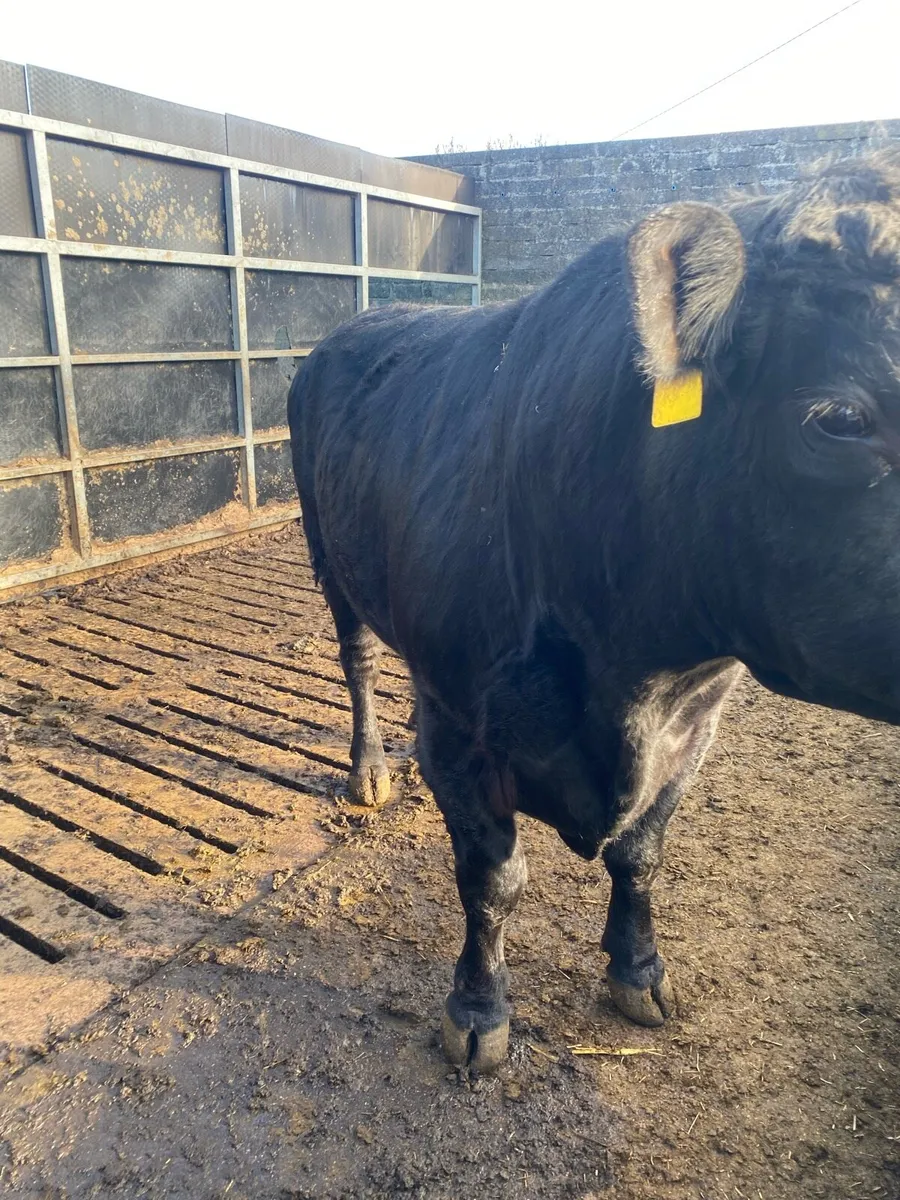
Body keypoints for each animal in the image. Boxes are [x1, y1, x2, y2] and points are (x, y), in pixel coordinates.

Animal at [288, 154, 900, 1072]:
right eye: (840, 418)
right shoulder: (458, 722)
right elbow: (493, 880)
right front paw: (477, 1013)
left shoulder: (697, 723)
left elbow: (643, 854)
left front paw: (639, 970)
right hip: (326, 546)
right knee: (357, 657)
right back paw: (368, 772)